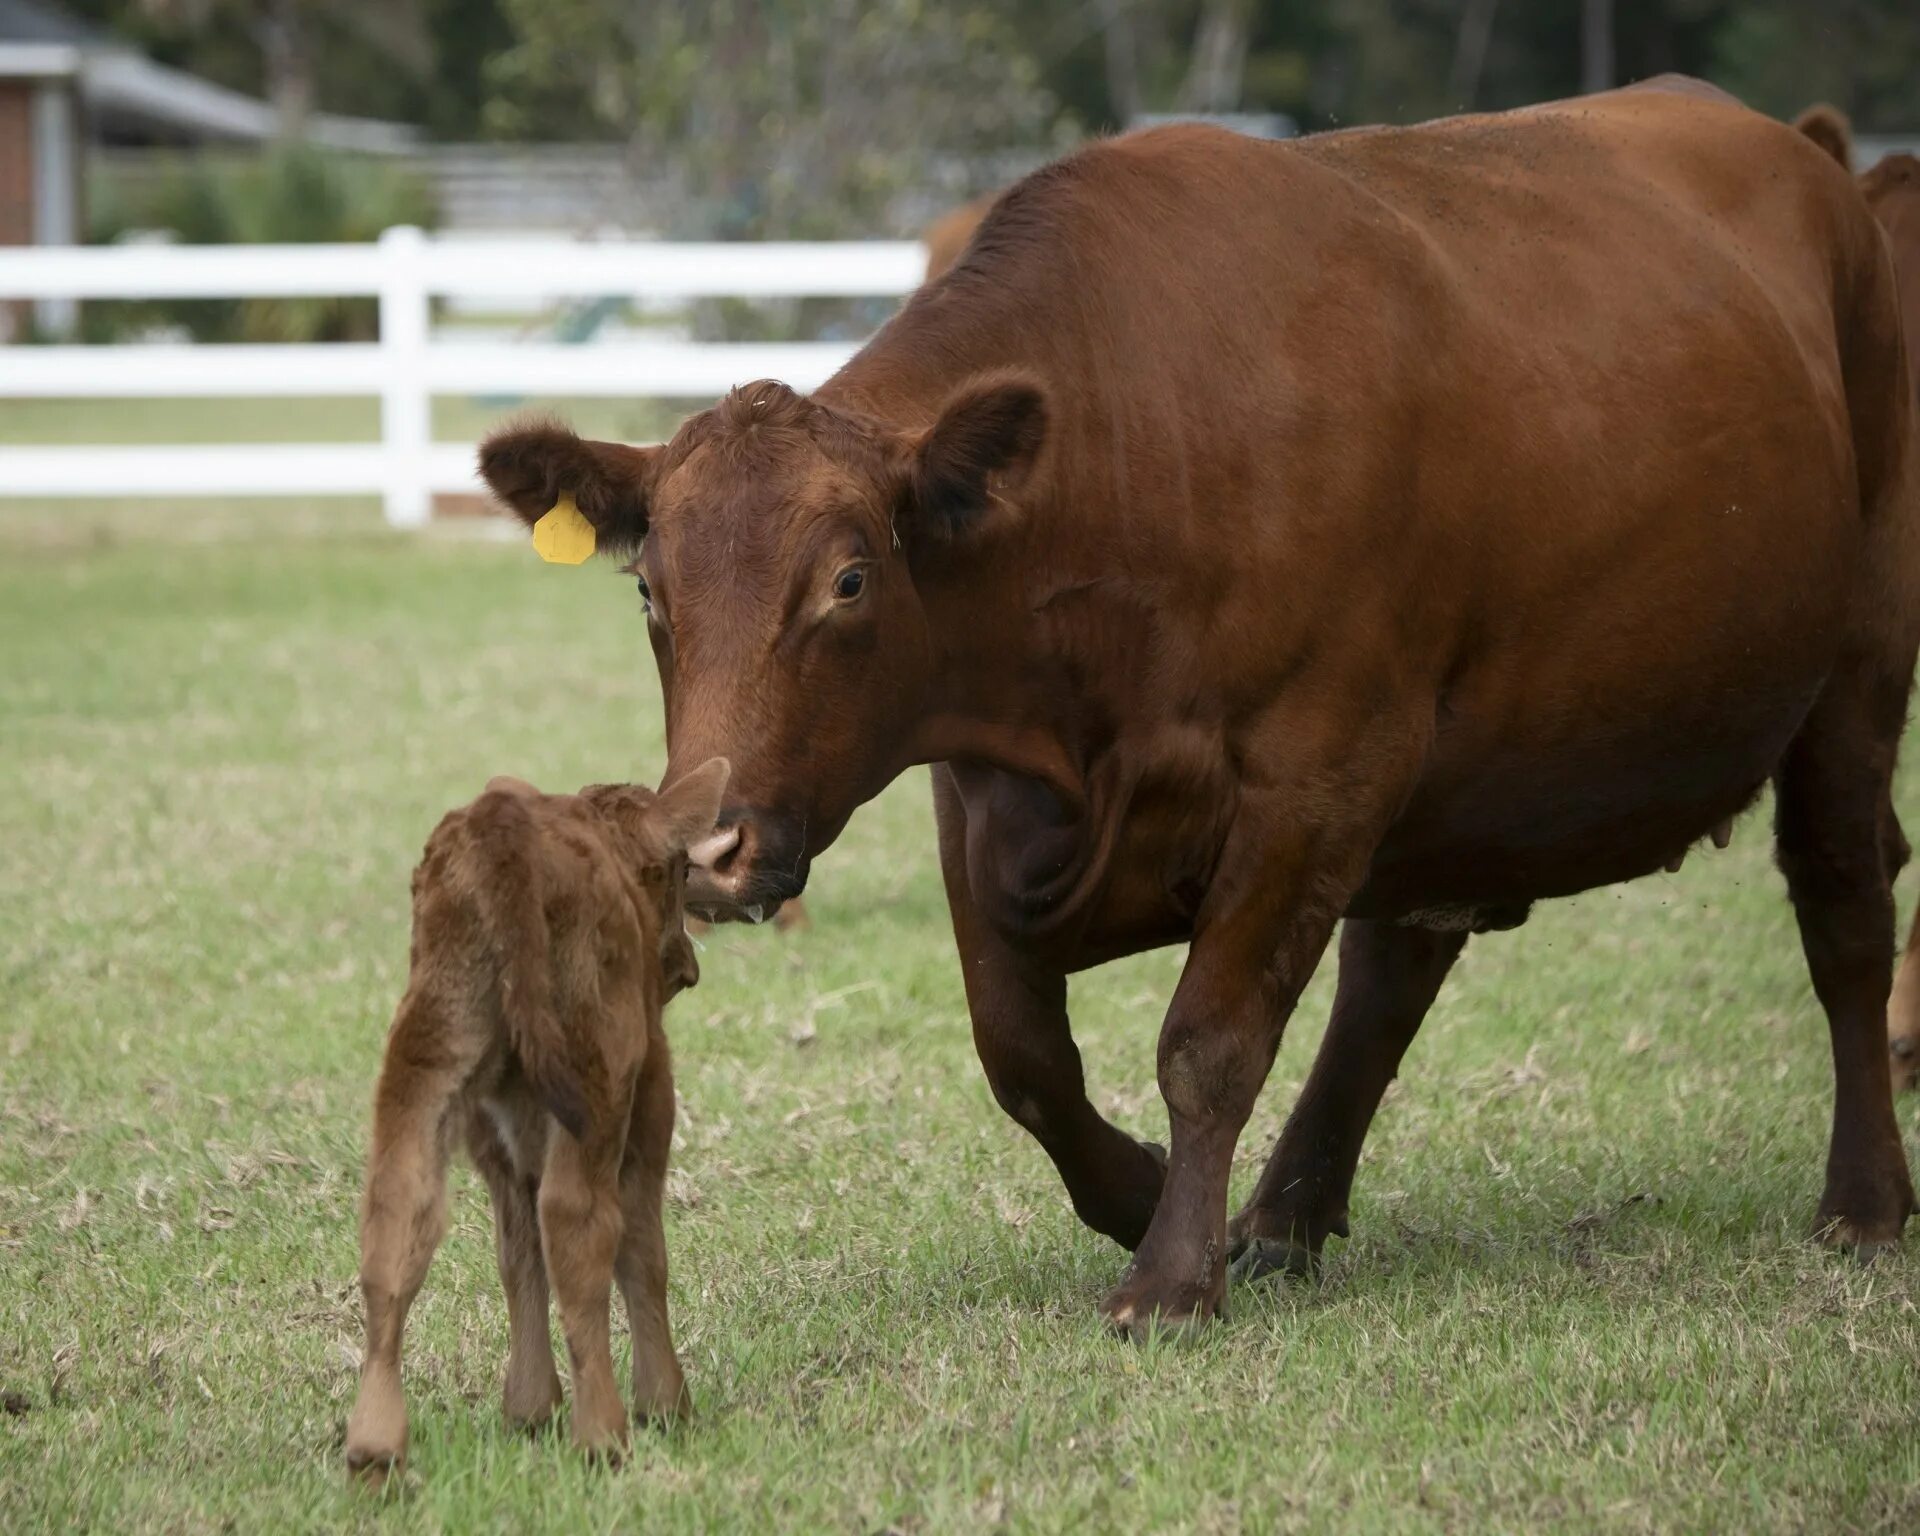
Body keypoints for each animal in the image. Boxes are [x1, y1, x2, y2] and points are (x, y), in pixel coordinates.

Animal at [341, 760, 729, 1482]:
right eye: (682, 869)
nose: (686, 967)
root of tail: (502, 834)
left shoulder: (492, 1136)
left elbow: (517, 1251)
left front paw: (528, 1407)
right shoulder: (651, 1090)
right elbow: (640, 1248)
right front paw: (664, 1404)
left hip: (431, 1053)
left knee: (398, 1214)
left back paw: (375, 1450)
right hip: (595, 1069)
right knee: (578, 1223)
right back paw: (603, 1435)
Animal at [480, 86, 1920, 1328]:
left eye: (846, 581)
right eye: (651, 589)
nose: (709, 851)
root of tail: (1809, 158)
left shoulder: (1321, 772)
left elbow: (1210, 1039)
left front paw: (1171, 1273)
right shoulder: (980, 797)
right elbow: (1023, 1056)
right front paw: (1140, 1200)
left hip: (1854, 667)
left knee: (1846, 909)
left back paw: (1863, 1202)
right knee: (1391, 974)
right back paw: (1286, 1214)